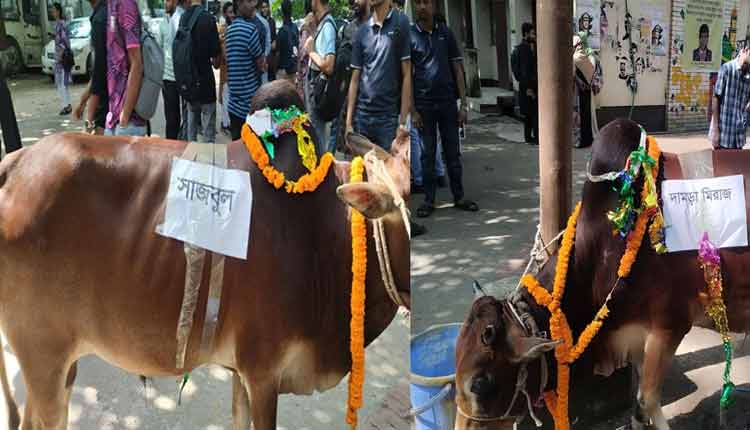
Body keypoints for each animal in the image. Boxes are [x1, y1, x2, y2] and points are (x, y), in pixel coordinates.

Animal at [0, 80, 412, 426]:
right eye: (403, 206)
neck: (323, 230)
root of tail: (16, 162)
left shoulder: (241, 374)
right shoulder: (263, 372)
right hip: (44, 360)